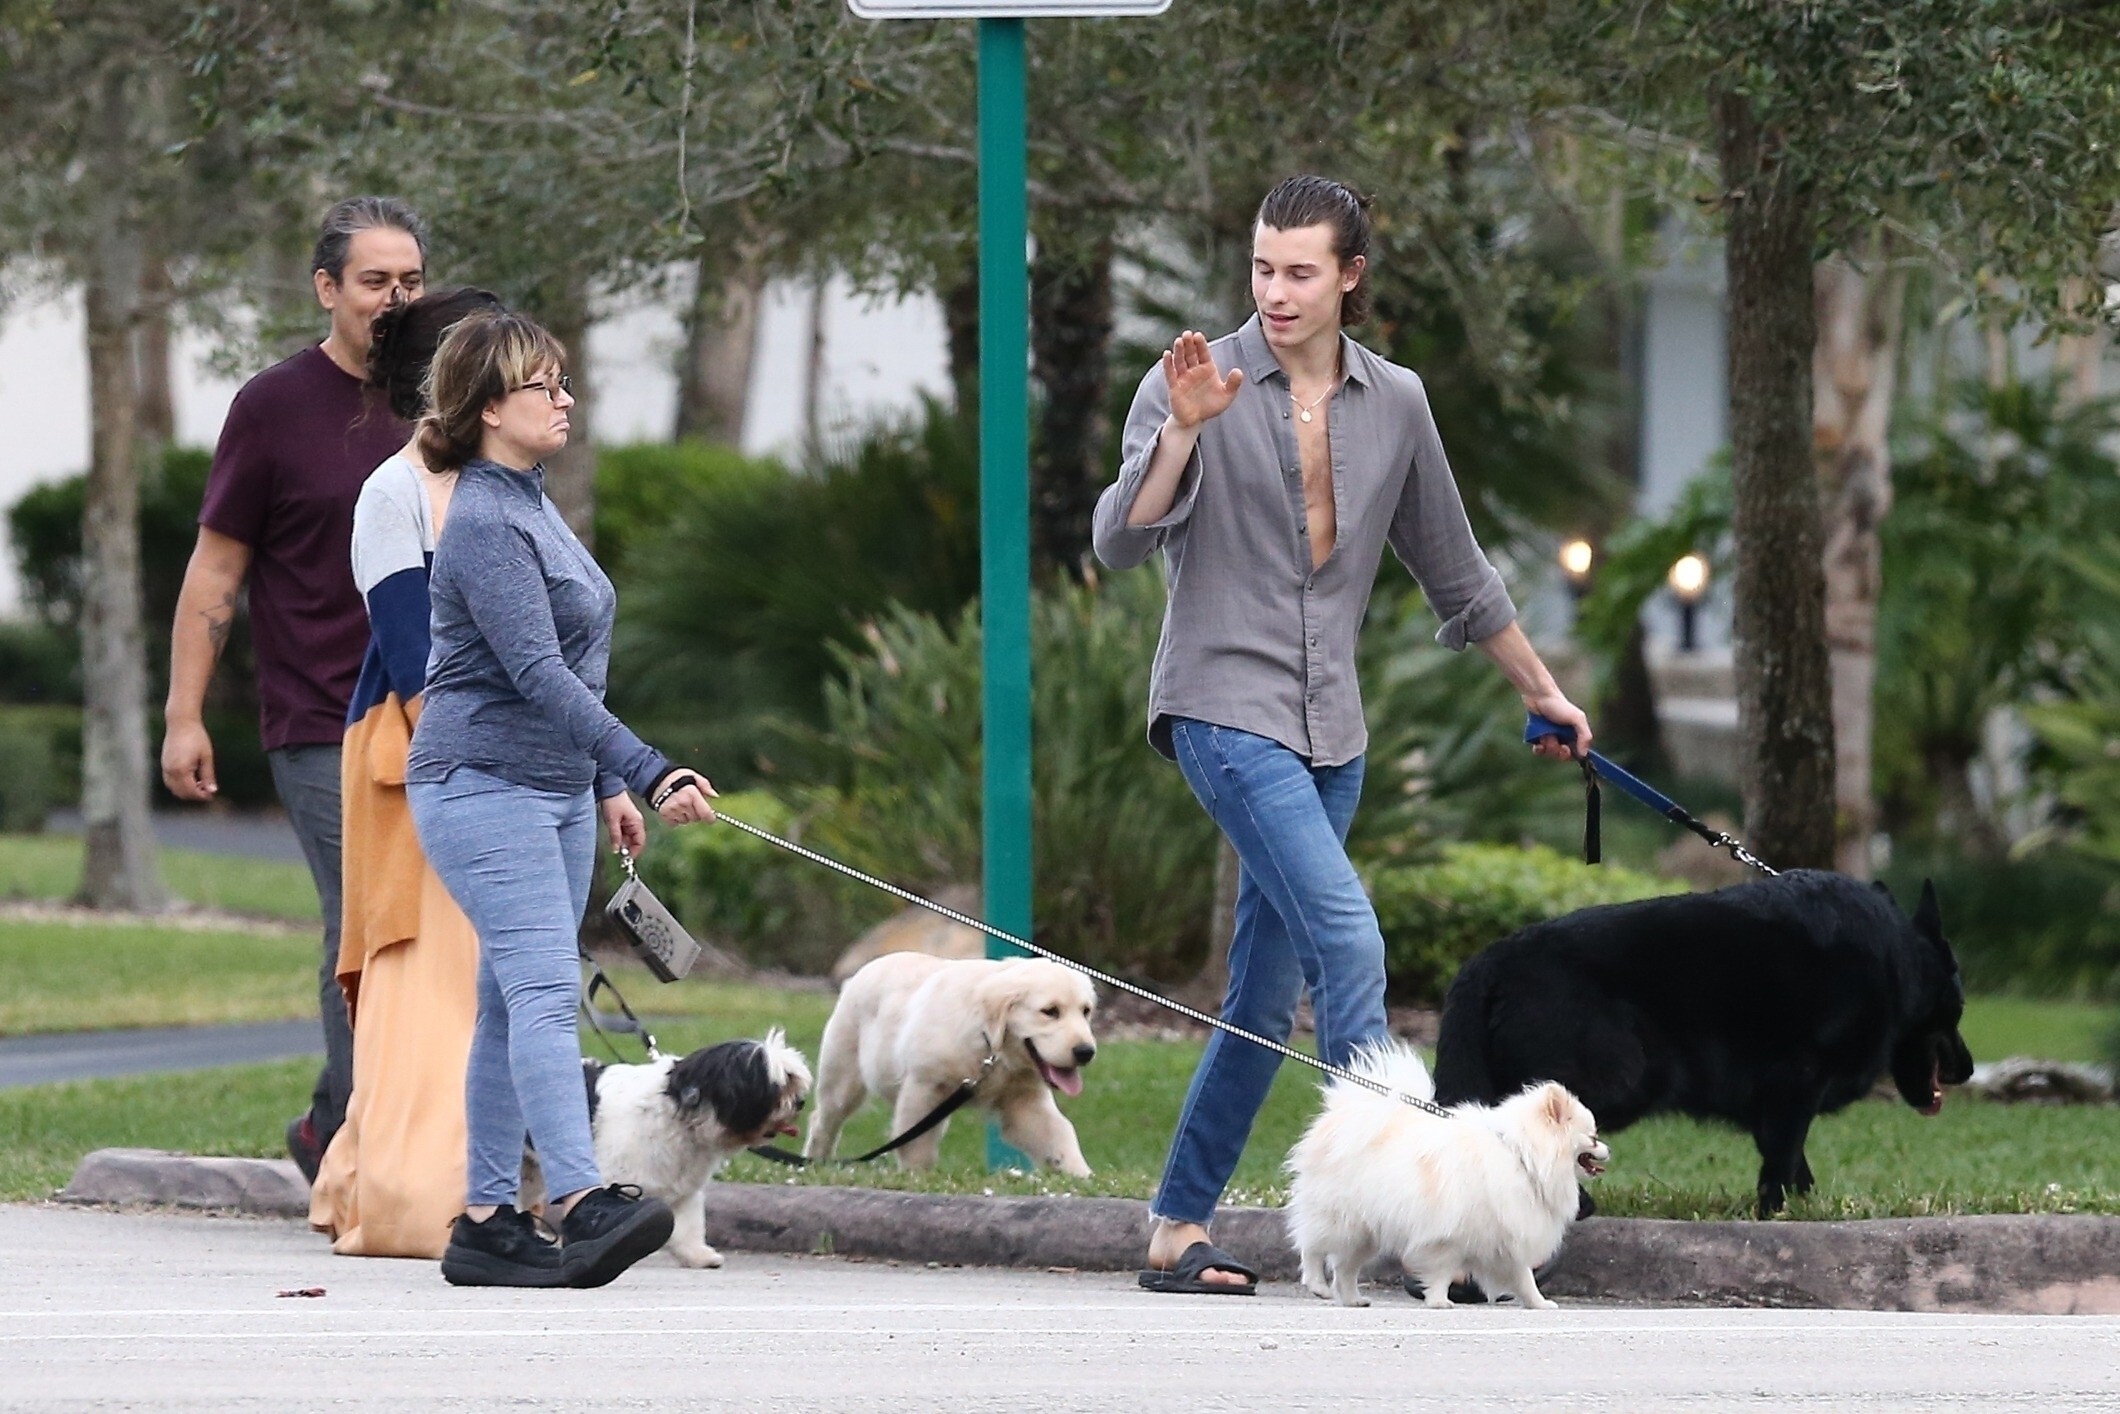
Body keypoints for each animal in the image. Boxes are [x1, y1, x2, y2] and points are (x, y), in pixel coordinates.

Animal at [568, 1031, 812, 1268]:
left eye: (792, 1079)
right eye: (775, 1087)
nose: (800, 1101)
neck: (678, 1112)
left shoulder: (684, 1190)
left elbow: (687, 1227)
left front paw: (698, 1255)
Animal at [805, 953, 1098, 1174]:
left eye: (1086, 1011)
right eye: (1050, 1012)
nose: (1086, 1051)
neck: (990, 1044)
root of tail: (854, 977)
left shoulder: (1024, 1101)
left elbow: (1059, 1132)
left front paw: (1080, 1174)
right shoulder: (924, 1087)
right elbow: (916, 1143)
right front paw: (916, 1176)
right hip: (842, 1076)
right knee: (823, 1119)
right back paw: (815, 1160)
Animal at [1285, 1042, 1607, 1309]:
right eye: (1592, 1138)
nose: (1608, 1149)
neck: (1521, 1154)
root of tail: (1343, 1116)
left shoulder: (1506, 1236)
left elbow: (1523, 1276)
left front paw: (1538, 1303)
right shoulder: (1447, 1236)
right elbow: (1443, 1270)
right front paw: (1439, 1301)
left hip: (1365, 1231)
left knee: (1344, 1267)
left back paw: (1353, 1298)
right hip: (1340, 1218)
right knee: (1311, 1246)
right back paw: (1318, 1285)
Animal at [1433, 871, 1976, 1217]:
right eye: (1958, 1009)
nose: (1968, 1070)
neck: (1898, 957)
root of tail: (1491, 961)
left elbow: (1790, 1157)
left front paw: (1804, 1203)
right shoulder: (1795, 1082)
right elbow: (1782, 1154)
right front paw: (1777, 1212)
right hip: (1621, 1080)